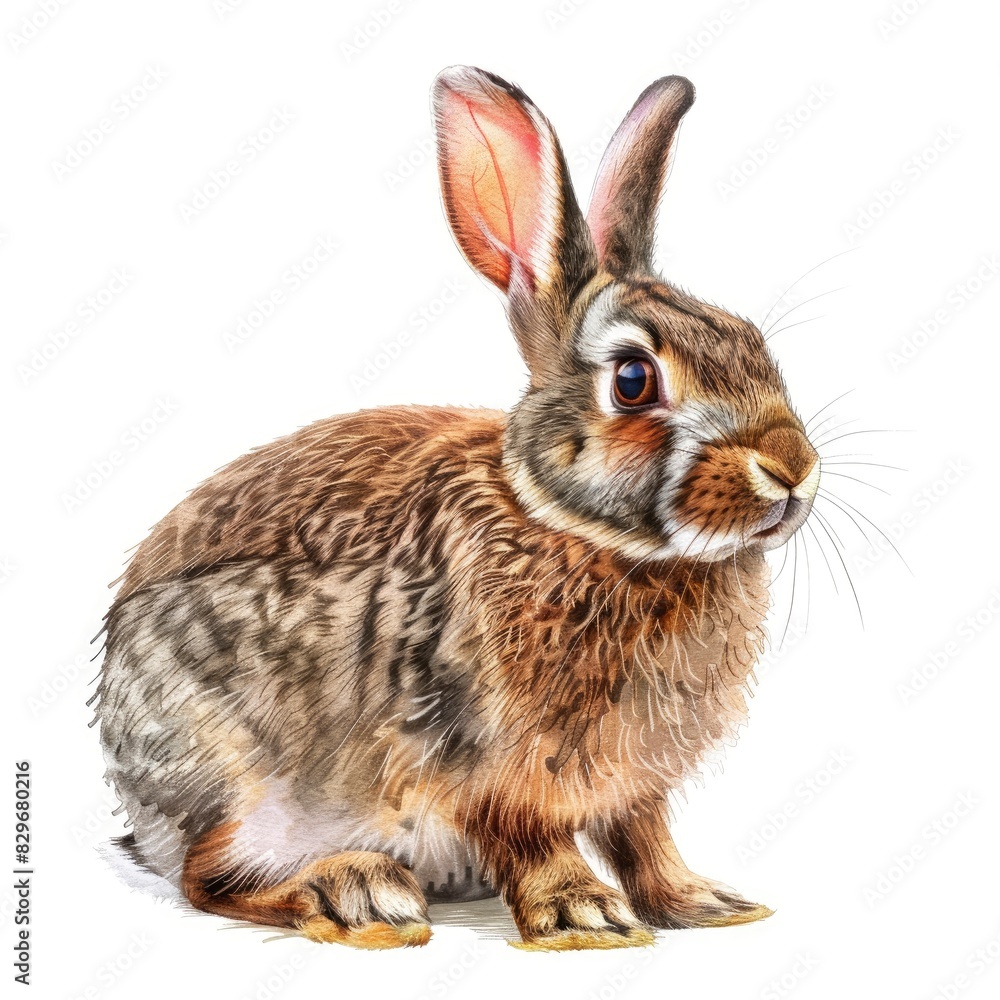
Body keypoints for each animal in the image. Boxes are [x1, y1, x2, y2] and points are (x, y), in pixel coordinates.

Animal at [95, 65, 821, 952]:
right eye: (633, 380)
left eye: (753, 340)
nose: (792, 469)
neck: (586, 534)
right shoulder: (483, 758)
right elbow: (530, 835)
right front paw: (584, 915)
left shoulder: (631, 783)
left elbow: (644, 836)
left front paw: (704, 903)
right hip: (234, 771)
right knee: (209, 877)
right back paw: (356, 893)